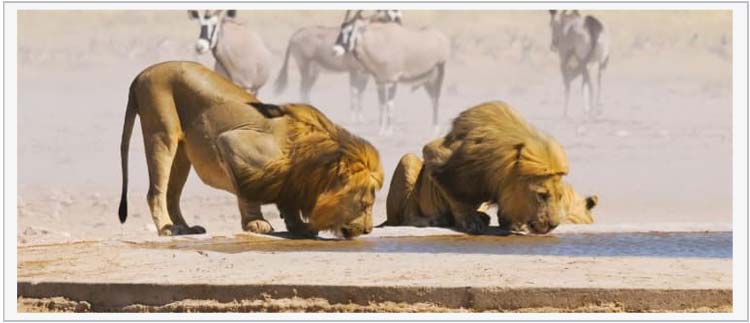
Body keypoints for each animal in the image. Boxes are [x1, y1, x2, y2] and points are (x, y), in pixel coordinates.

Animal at [121, 61, 388, 238]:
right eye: (365, 204)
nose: (367, 230)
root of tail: (141, 74)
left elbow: (288, 203)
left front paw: (299, 226)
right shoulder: (232, 143)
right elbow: (248, 191)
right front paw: (256, 223)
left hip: (182, 153)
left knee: (171, 194)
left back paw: (185, 228)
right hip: (161, 133)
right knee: (155, 192)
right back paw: (166, 228)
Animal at [274, 10, 406, 123]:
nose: (398, 20)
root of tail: (294, 35)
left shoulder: (365, 73)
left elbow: (361, 93)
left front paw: (361, 118)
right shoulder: (354, 70)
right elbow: (354, 92)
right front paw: (354, 119)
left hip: (313, 73)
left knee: (305, 91)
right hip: (305, 67)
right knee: (302, 90)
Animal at [390, 101, 572, 235]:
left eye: (560, 196)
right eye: (541, 196)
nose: (554, 225)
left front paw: (512, 222)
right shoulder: (437, 155)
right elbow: (456, 197)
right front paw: (470, 221)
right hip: (408, 160)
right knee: (407, 217)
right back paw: (435, 220)